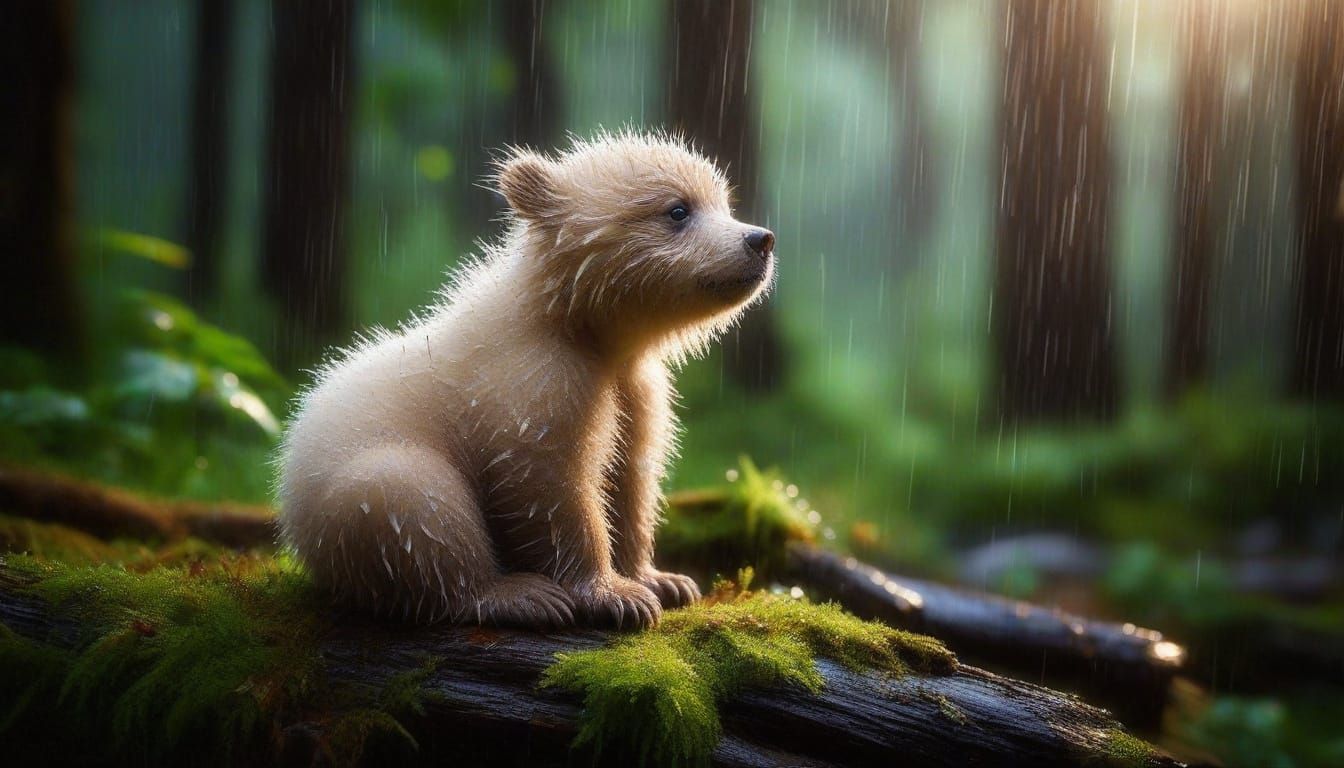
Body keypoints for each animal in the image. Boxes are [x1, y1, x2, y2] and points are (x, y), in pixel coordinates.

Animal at [276, 131, 776, 629]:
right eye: (677, 209)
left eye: (724, 201)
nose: (760, 239)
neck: (573, 320)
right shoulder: (538, 378)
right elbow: (549, 483)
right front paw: (615, 596)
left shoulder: (635, 384)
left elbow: (630, 473)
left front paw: (662, 580)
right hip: (354, 495)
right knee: (413, 497)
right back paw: (516, 593)